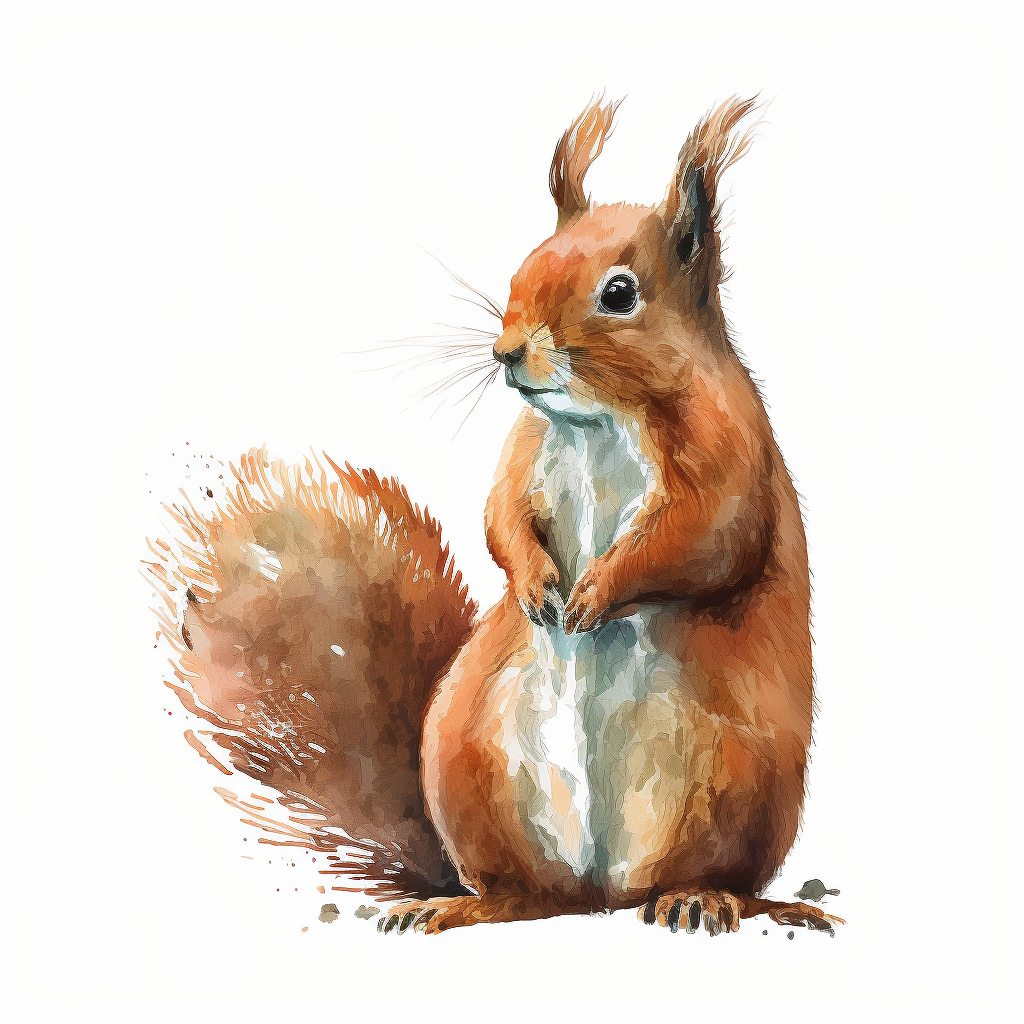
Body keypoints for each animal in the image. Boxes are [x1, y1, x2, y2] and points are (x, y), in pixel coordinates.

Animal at [148, 96, 842, 937]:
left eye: (620, 293)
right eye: (524, 264)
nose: (507, 352)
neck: (600, 418)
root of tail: (602, 891)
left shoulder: (730, 456)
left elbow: (705, 539)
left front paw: (596, 593)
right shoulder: (524, 454)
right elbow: (502, 519)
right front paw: (540, 584)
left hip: (729, 782)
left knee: (710, 876)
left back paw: (702, 898)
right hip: (472, 763)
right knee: (525, 896)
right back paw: (459, 906)